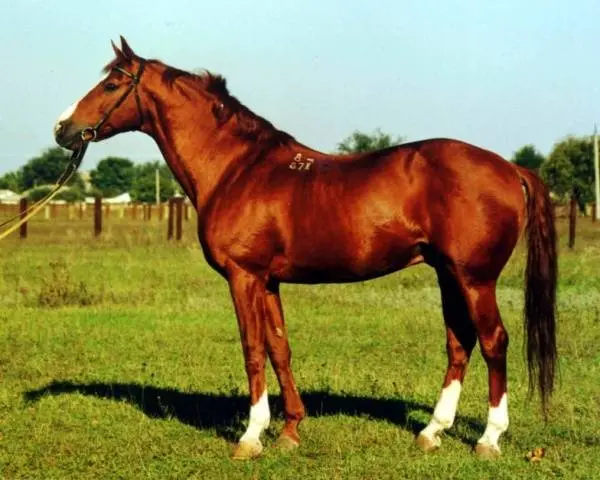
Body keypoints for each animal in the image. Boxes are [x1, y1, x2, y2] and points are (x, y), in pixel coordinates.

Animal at [54, 36, 556, 458]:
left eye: (112, 83)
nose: (63, 129)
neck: (237, 169)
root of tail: (509, 168)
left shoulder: (243, 277)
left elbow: (252, 348)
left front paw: (250, 436)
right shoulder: (268, 281)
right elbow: (280, 348)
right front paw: (290, 430)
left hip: (475, 278)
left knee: (492, 342)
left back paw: (489, 439)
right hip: (448, 274)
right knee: (459, 343)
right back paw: (432, 431)